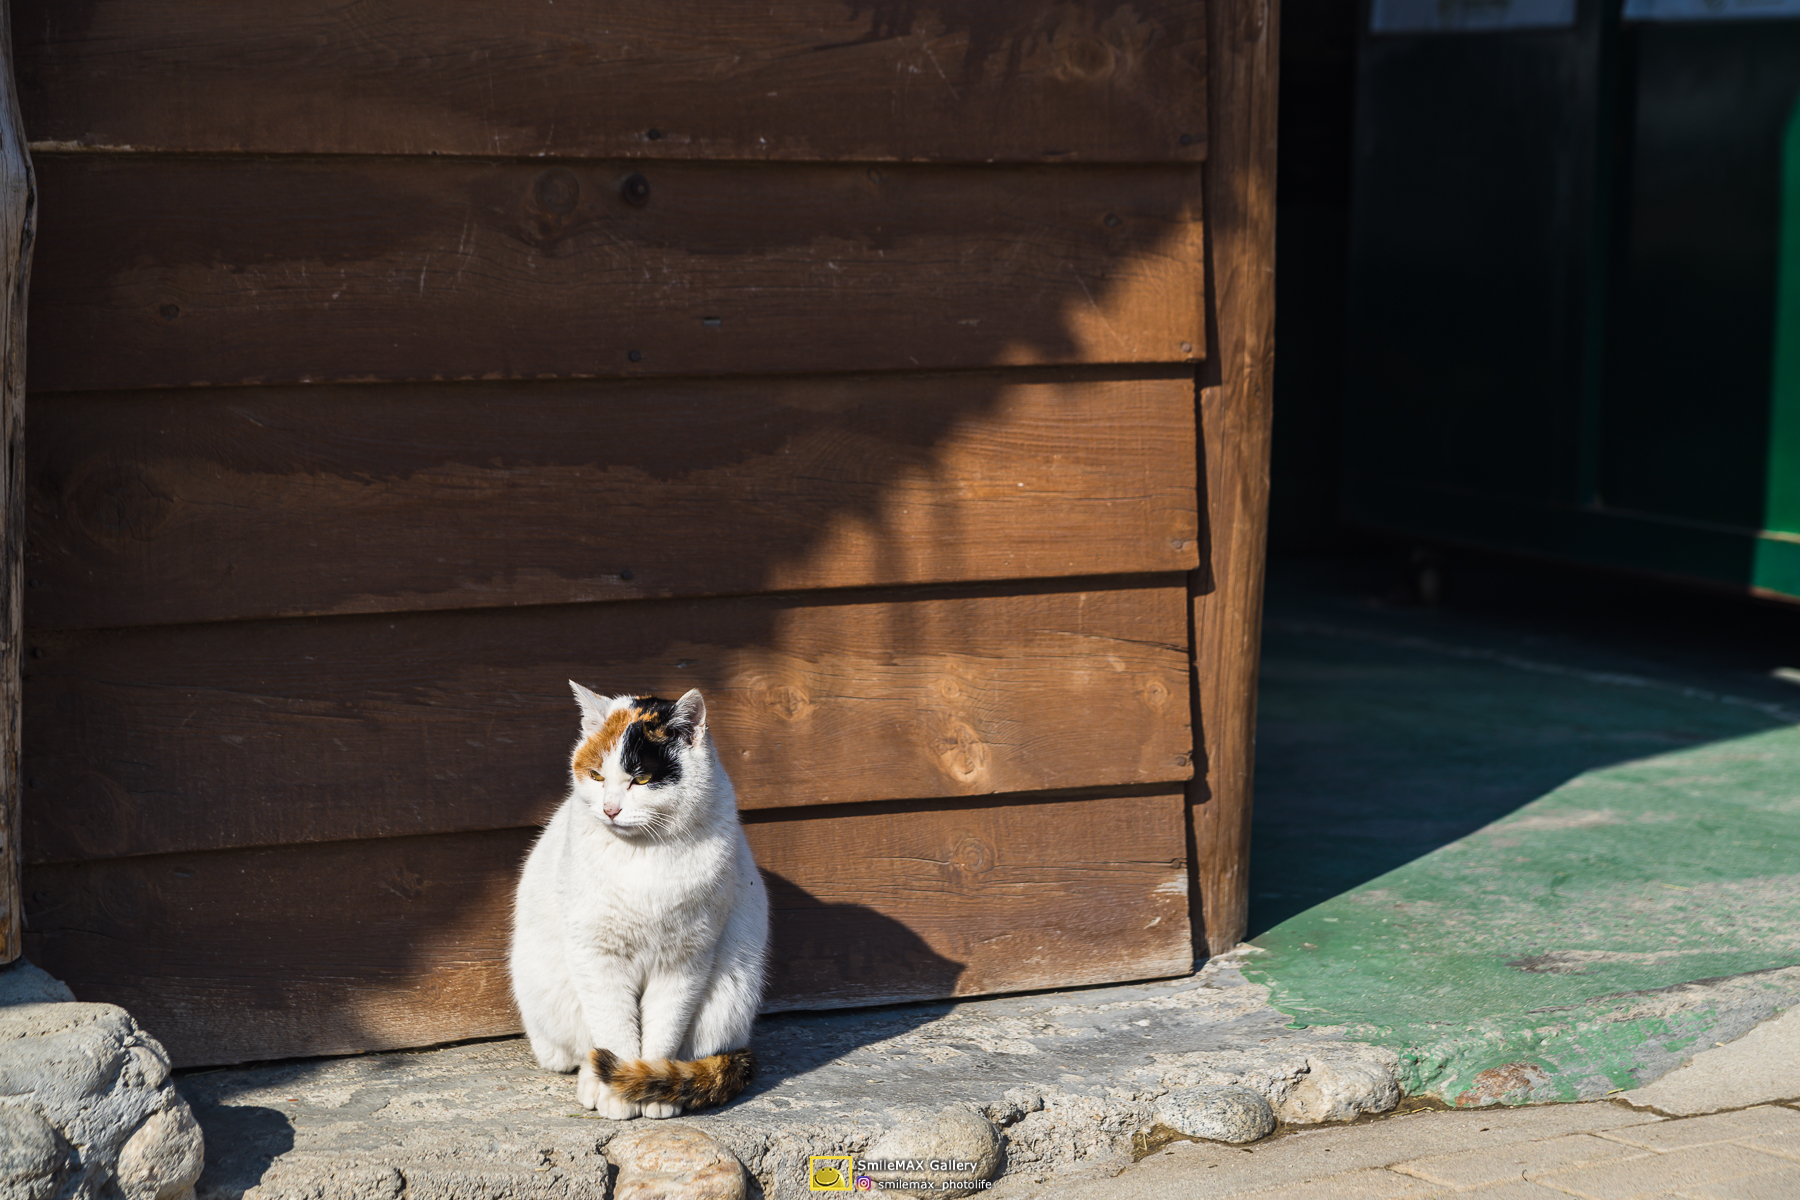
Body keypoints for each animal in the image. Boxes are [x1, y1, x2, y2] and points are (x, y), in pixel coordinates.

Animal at [509, 683, 769, 1119]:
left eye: (642, 778)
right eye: (596, 775)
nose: (610, 809)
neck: (642, 858)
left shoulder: (685, 960)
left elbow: (663, 1029)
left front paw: (651, 1090)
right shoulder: (598, 956)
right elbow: (614, 1030)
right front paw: (618, 1094)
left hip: (728, 1002)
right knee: (580, 1050)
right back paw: (591, 1081)